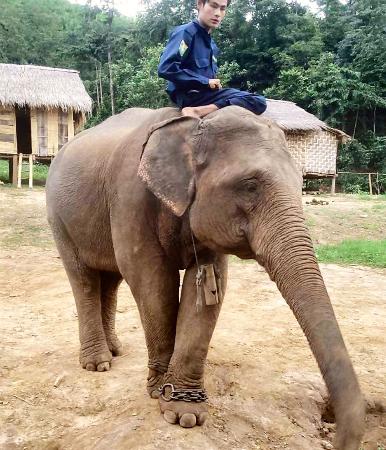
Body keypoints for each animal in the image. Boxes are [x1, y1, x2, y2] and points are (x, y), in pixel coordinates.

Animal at [46, 106, 364, 450]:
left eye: (300, 182)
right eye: (249, 185)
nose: (333, 433)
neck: (191, 125)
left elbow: (210, 287)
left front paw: (184, 411)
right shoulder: (129, 198)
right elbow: (153, 281)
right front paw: (160, 392)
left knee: (110, 279)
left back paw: (116, 350)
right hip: (58, 217)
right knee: (84, 279)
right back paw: (98, 364)